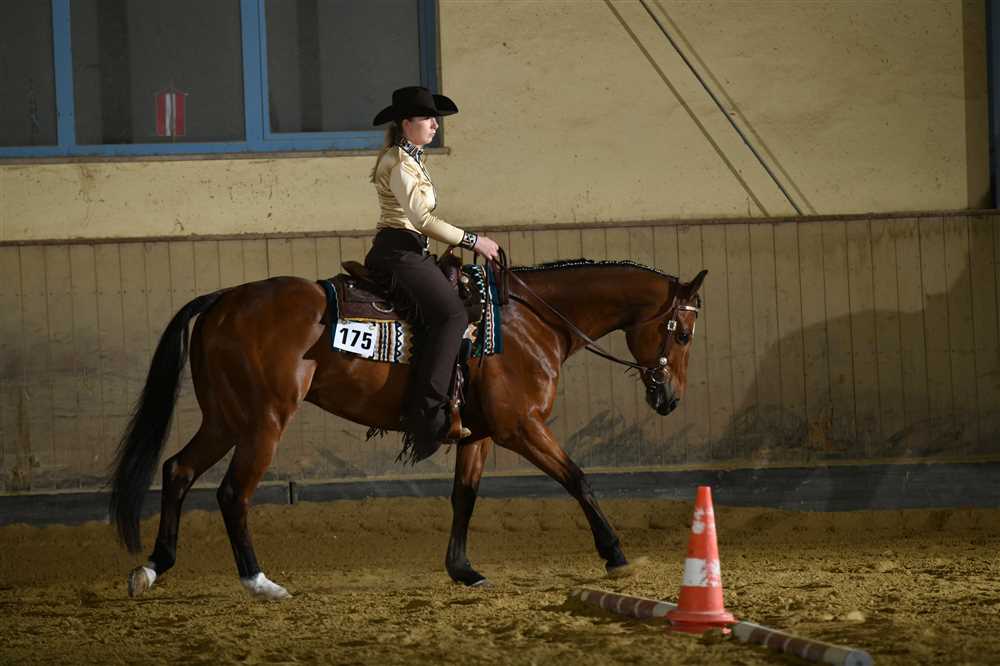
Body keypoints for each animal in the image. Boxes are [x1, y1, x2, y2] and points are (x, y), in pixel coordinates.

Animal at [109, 257, 707, 600]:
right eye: (682, 334)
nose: (671, 398)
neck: (527, 322)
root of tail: (223, 300)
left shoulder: (480, 435)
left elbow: (464, 497)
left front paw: (463, 570)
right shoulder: (521, 427)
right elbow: (578, 479)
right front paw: (616, 556)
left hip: (225, 418)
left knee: (178, 469)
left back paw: (153, 568)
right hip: (263, 422)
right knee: (234, 493)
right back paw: (259, 582)